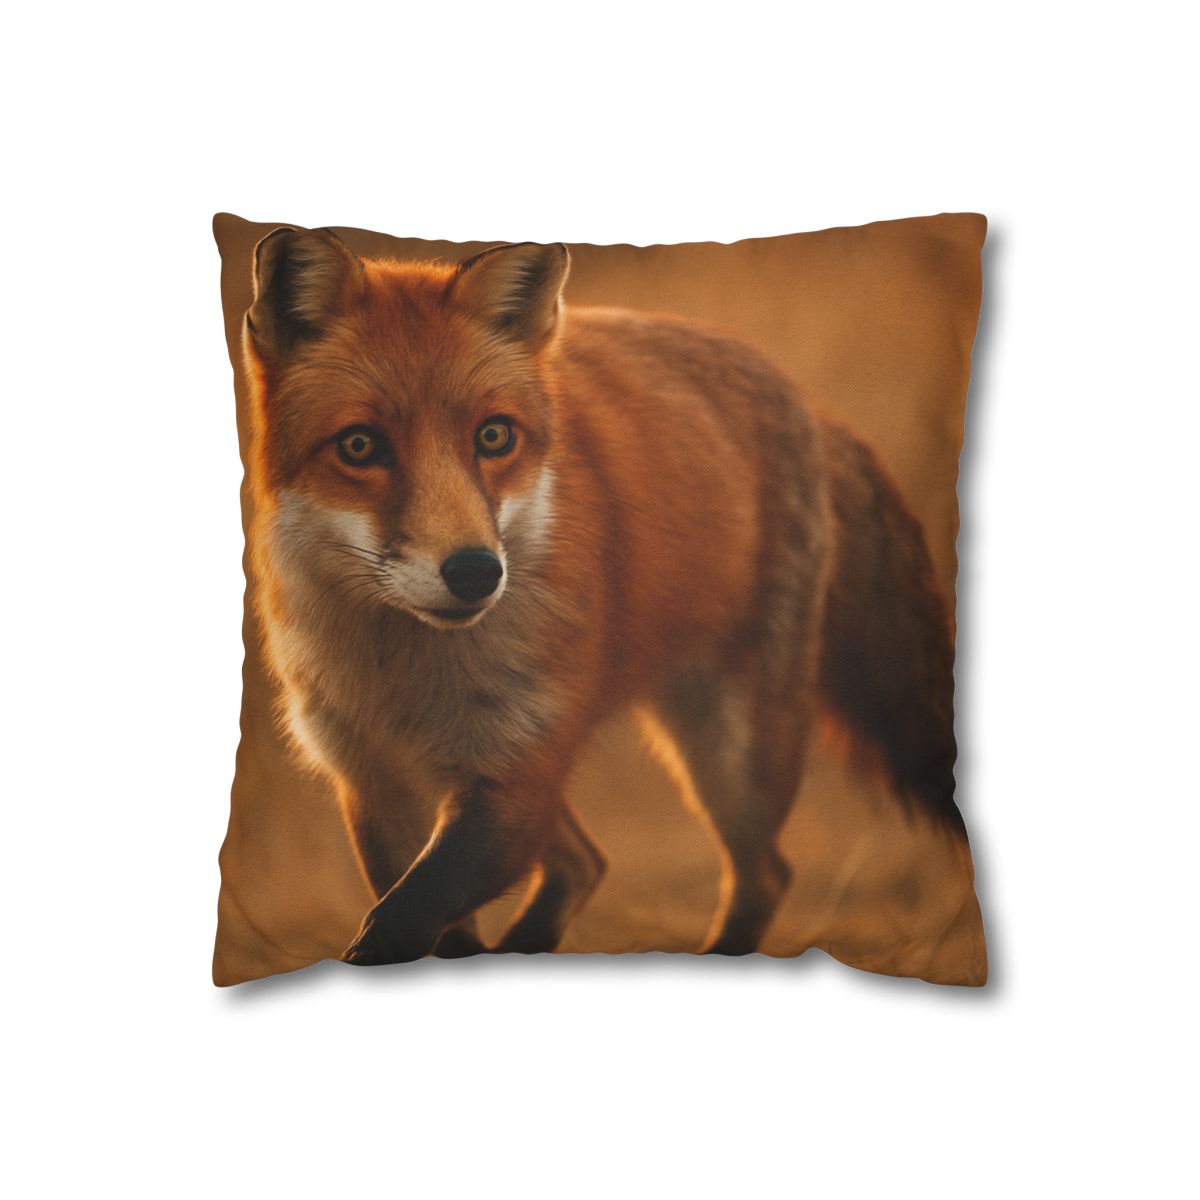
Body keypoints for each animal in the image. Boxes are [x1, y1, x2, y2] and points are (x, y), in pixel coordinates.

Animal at [242, 226, 964, 966]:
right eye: (359, 446)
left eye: (493, 435)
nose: (475, 572)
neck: (407, 675)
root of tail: (807, 402)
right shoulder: (374, 783)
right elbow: (427, 926)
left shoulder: (517, 773)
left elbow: (406, 915)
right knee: (587, 863)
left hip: (730, 759)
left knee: (761, 873)